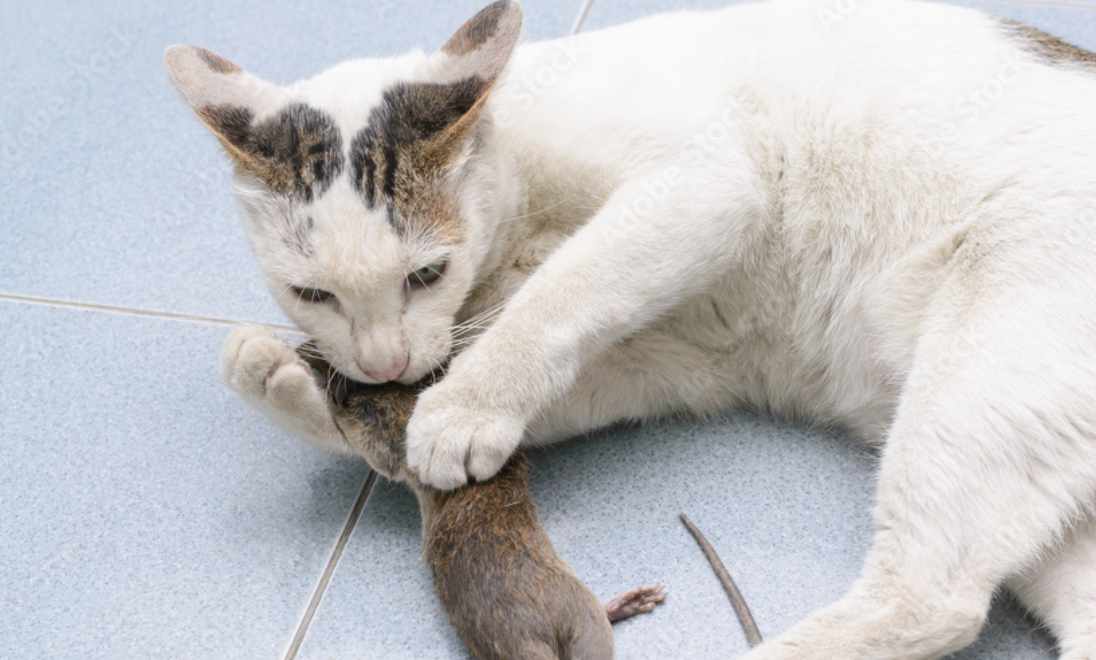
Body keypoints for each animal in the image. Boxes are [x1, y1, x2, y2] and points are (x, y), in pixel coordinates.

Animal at [162, 1, 1096, 653]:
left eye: (425, 274)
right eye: (310, 293)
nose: (385, 364)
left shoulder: (704, 187)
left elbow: (560, 299)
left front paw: (462, 408)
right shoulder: (667, 359)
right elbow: (397, 429)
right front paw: (284, 377)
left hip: (983, 377)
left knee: (932, 599)